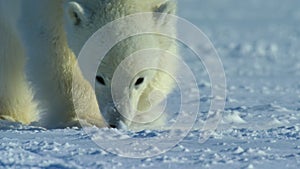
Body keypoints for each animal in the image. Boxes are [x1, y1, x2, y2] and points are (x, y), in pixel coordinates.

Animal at [0, 0, 178, 129]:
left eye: (139, 80)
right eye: (99, 78)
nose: (116, 123)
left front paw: (144, 116)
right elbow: (53, 47)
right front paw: (83, 118)